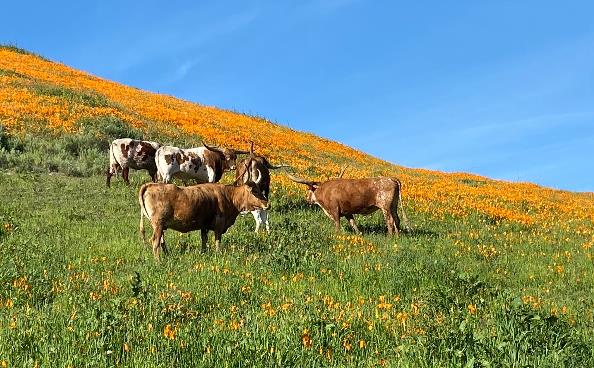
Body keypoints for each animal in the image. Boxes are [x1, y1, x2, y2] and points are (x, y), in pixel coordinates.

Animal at [138, 178, 268, 260]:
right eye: (255, 191)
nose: (267, 204)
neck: (229, 196)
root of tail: (150, 184)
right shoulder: (219, 225)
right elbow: (217, 241)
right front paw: (217, 254)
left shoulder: (204, 225)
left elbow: (204, 240)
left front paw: (204, 253)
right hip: (158, 224)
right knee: (155, 241)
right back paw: (158, 261)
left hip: (161, 226)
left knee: (161, 241)